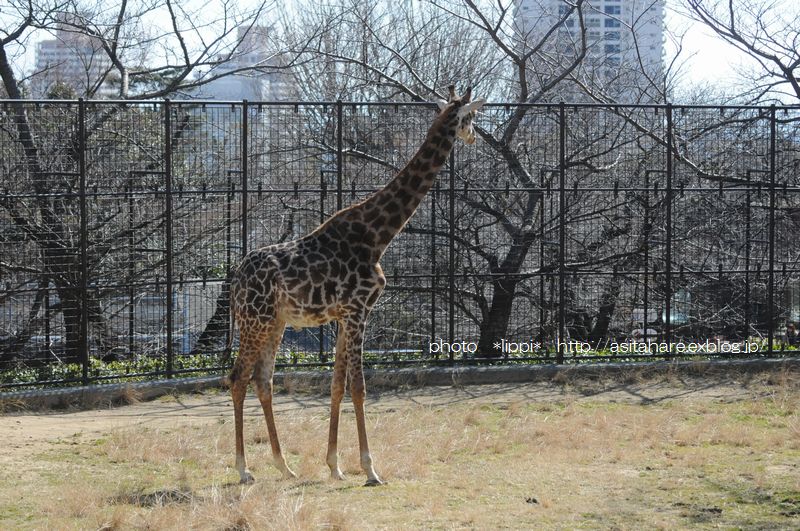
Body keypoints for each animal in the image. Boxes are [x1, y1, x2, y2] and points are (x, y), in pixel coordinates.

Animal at [227, 84, 488, 486]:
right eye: (471, 117)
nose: (475, 137)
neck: (377, 235)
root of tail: (235, 280)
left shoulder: (342, 315)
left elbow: (337, 385)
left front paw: (334, 465)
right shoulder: (358, 310)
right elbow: (359, 387)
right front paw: (370, 468)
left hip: (275, 322)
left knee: (263, 380)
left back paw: (283, 465)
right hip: (255, 321)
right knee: (238, 378)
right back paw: (243, 469)